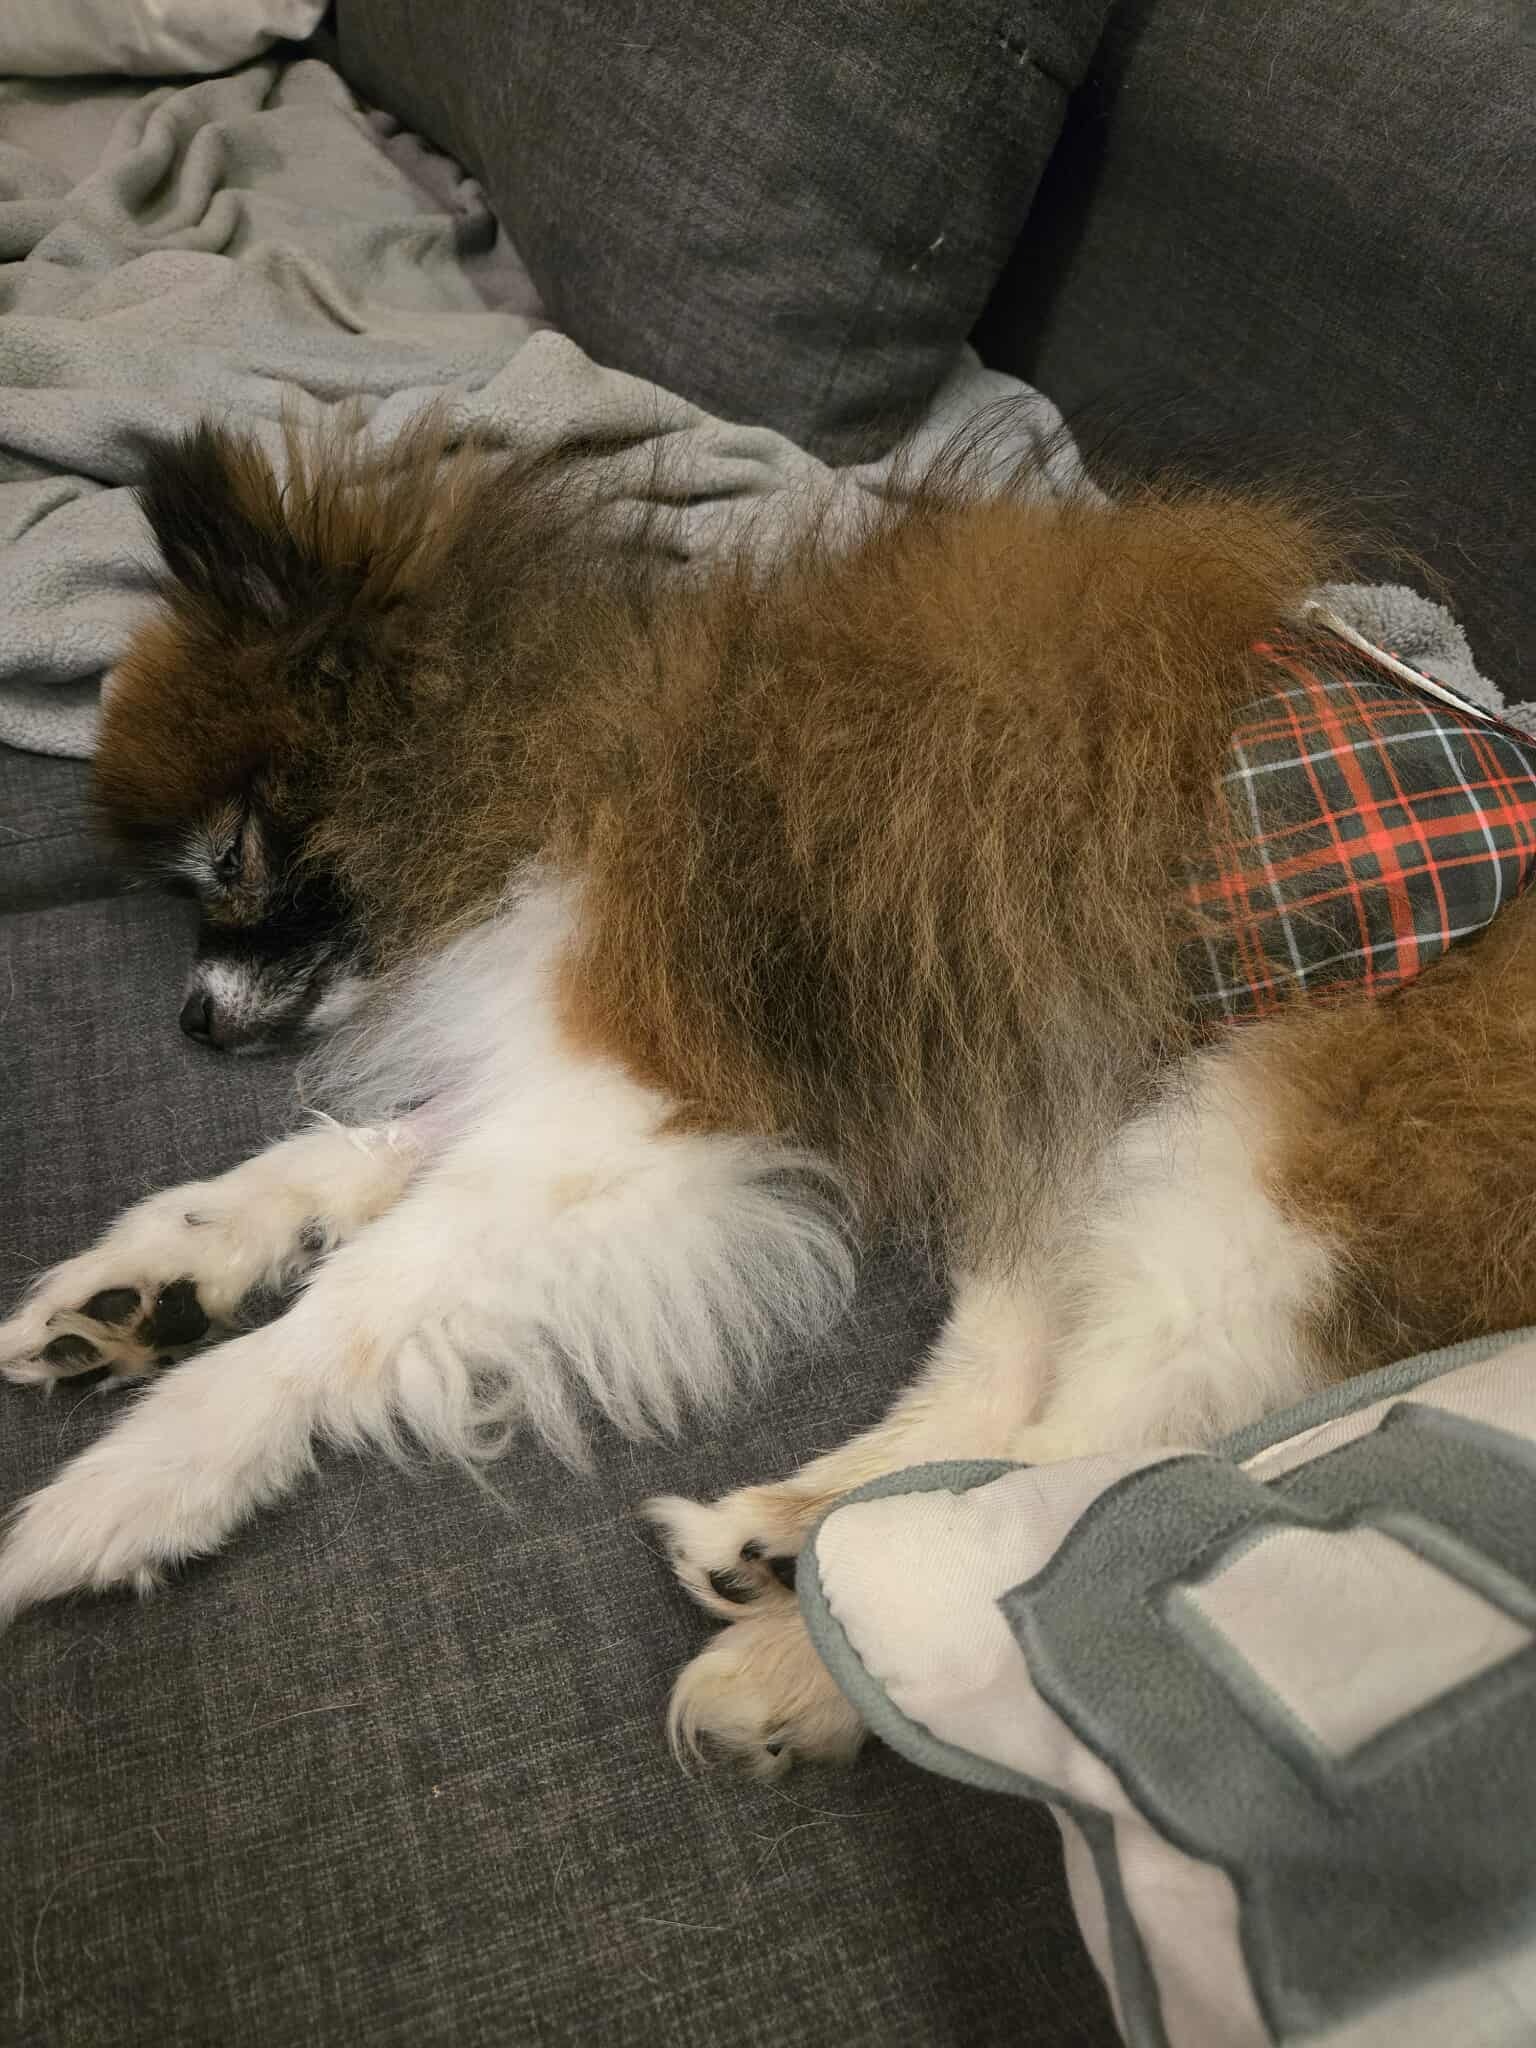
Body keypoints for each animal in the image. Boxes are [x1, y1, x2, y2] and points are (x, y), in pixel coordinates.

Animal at [5, 415, 1536, 1776]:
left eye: (234, 860)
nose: (191, 1020)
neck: (537, 726)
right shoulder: (572, 1058)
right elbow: (338, 1166)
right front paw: (150, 1279)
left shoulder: (633, 1090)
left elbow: (351, 1308)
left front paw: (135, 1482)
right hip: (1069, 1126)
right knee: (1004, 1412)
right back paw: (790, 1553)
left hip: (1242, 1172)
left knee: (1097, 1478)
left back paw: (800, 1661)